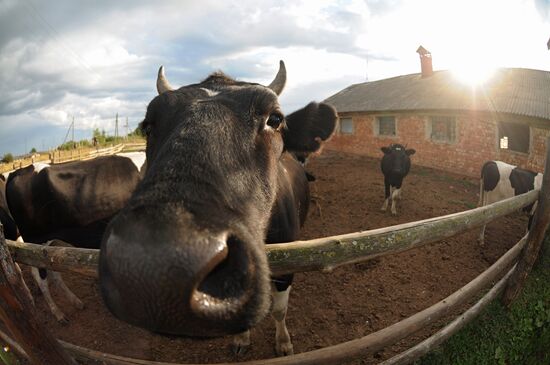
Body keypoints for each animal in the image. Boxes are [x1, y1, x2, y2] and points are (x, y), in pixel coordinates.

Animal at [98, 61, 338, 354]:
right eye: (148, 126)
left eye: (275, 119)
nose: (156, 273)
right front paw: (242, 340)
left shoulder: (288, 269)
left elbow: (279, 310)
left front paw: (283, 343)